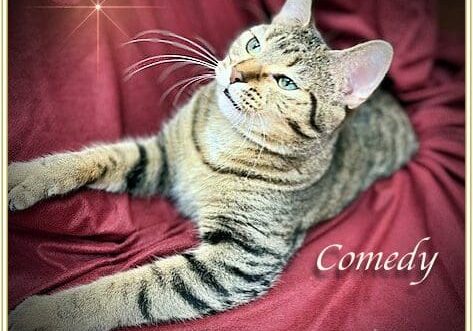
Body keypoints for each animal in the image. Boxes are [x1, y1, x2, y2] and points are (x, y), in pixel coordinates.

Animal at [6, 1, 412, 330]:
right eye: (254, 44)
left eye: (286, 82)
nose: (235, 73)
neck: (226, 136)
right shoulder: (162, 158)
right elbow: (101, 156)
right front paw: (25, 177)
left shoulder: (243, 256)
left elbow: (140, 288)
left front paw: (49, 313)